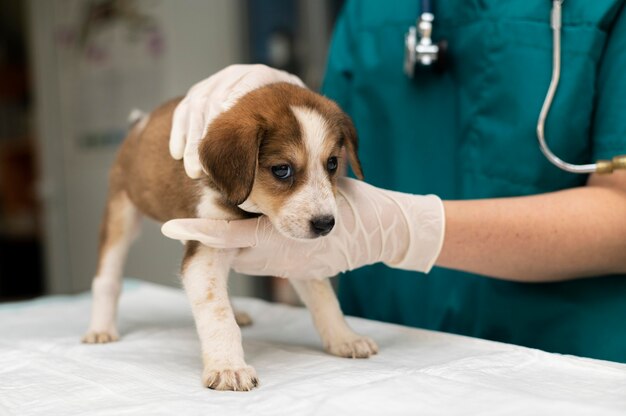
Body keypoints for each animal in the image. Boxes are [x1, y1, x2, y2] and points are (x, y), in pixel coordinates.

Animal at [81, 80, 378, 390]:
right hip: (121, 215)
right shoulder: (204, 253)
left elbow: (325, 300)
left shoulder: (290, 253)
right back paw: (101, 328)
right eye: (282, 170)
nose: (325, 224)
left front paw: (345, 338)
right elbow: (217, 314)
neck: (253, 212)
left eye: (332, 164)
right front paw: (228, 366)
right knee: (108, 279)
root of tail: (139, 124)